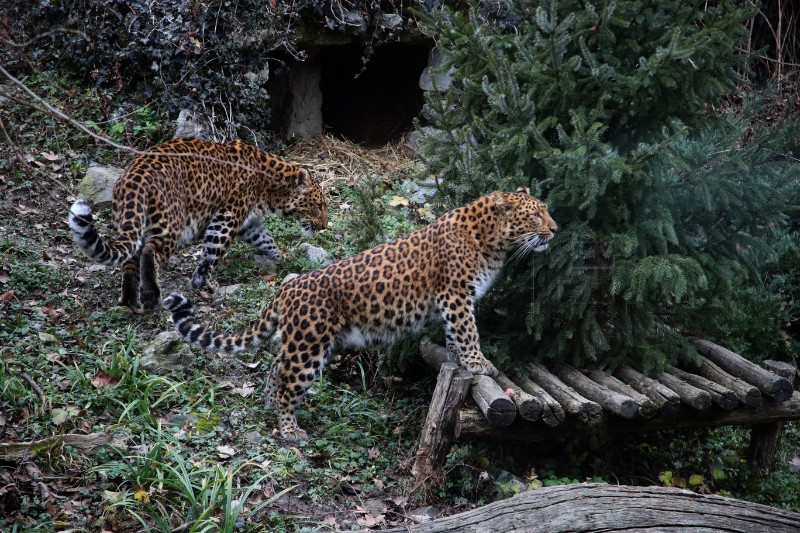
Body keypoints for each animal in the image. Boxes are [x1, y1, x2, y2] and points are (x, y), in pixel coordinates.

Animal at [66, 137, 328, 310]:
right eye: (319, 205)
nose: (325, 225)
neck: (271, 186)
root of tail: (134, 176)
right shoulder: (227, 217)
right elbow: (212, 252)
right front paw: (206, 283)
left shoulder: (248, 224)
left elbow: (266, 239)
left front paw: (281, 256)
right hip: (170, 223)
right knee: (150, 252)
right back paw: (151, 296)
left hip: (132, 221)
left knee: (131, 258)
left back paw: (130, 299)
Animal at [164, 188, 556, 440]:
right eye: (535, 213)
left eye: (545, 210)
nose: (554, 230)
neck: (493, 241)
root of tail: (287, 288)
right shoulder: (455, 295)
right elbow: (468, 331)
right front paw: (479, 363)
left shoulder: (453, 301)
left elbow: (454, 336)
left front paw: (460, 360)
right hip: (309, 346)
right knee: (290, 381)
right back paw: (290, 430)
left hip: (311, 343)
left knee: (276, 365)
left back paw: (268, 403)